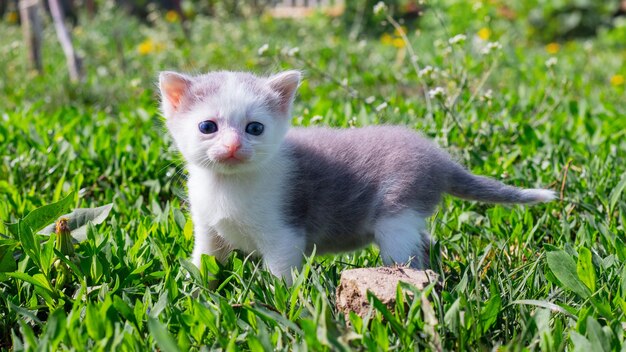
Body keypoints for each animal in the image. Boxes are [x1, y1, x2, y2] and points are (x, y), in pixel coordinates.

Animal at [158, 69, 552, 284]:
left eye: (254, 128)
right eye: (208, 127)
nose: (233, 145)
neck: (228, 187)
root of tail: (437, 156)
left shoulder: (284, 236)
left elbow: (281, 279)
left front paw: (278, 305)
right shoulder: (208, 230)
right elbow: (203, 262)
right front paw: (195, 289)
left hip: (397, 218)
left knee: (410, 256)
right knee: (426, 241)